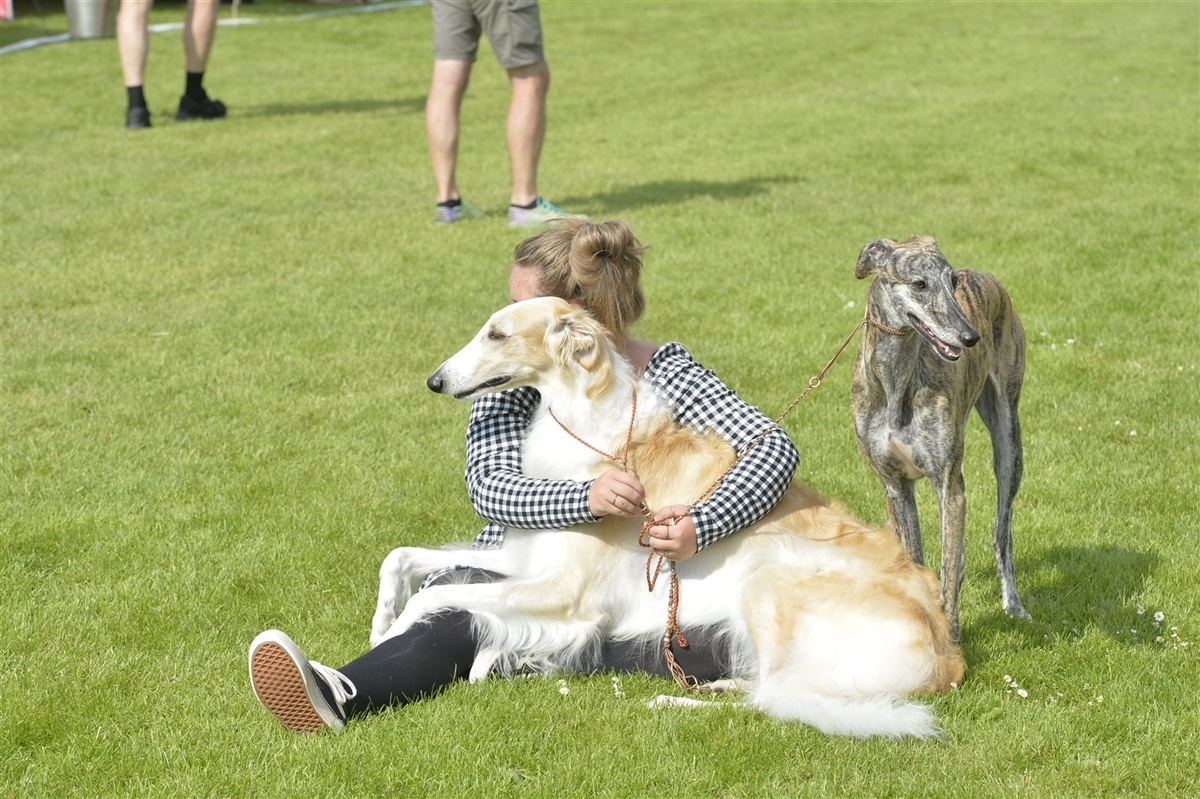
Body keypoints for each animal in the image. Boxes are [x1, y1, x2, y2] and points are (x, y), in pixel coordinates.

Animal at [852, 235, 1030, 641]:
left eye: (952, 282)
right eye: (919, 284)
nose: (970, 338)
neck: (896, 381)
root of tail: (986, 275)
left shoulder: (950, 486)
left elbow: (949, 572)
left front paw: (949, 639)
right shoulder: (895, 486)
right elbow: (914, 559)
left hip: (1008, 442)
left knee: (1001, 530)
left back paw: (1013, 604)